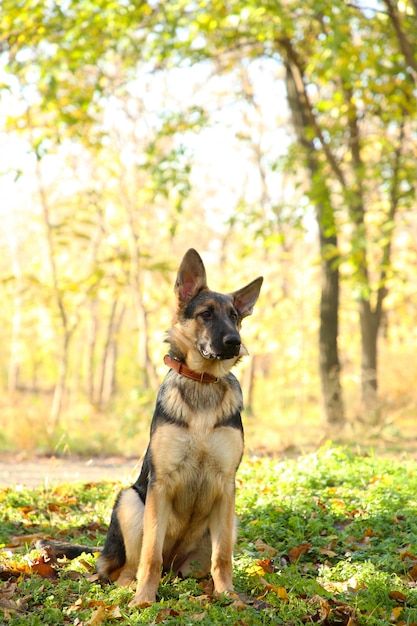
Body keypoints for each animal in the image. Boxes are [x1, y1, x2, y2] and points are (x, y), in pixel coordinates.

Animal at [39, 247, 260, 604]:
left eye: (235, 316)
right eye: (206, 314)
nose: (234, 341)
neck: (202, 382)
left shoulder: (226, 486)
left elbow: (223, 556)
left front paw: (229, 596)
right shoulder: (160, 485)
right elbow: (150, 555)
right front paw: (144, 599)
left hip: (224, 523)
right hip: (131, 501)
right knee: (125, 569)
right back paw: (130, 587)